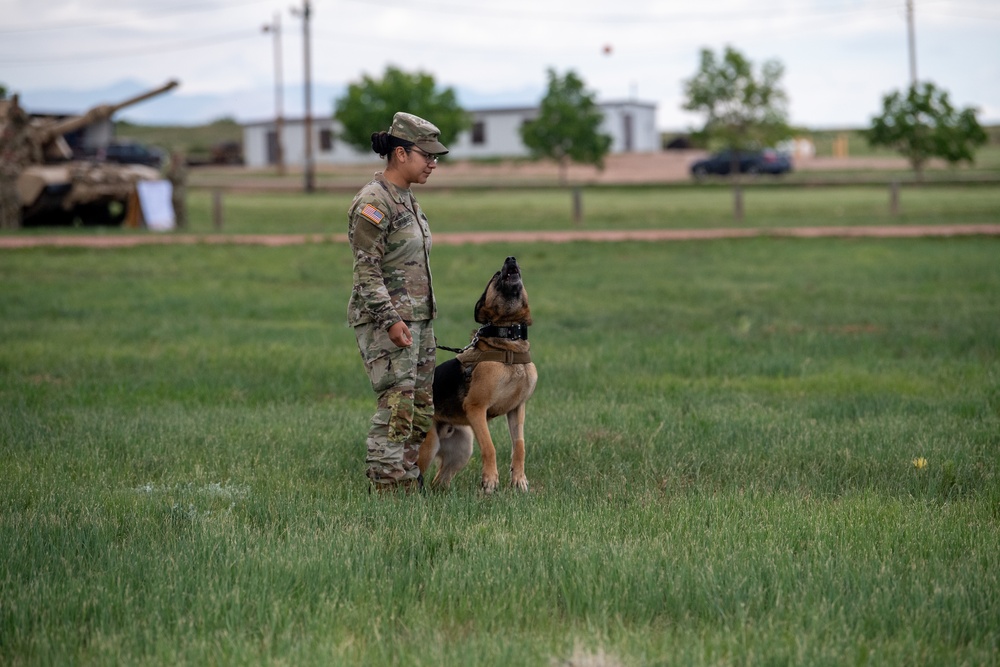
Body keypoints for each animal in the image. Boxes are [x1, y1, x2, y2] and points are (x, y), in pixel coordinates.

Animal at [416, 258, 540, 494]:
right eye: (496, 275)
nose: (511, 258)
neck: (509, 343)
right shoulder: (476, 408)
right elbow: (490, 446)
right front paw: (490, 481)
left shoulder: (517, 409)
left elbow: (519, 446)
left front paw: (519, 479)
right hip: (429, 446)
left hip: (462, 448)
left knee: (439, 480)